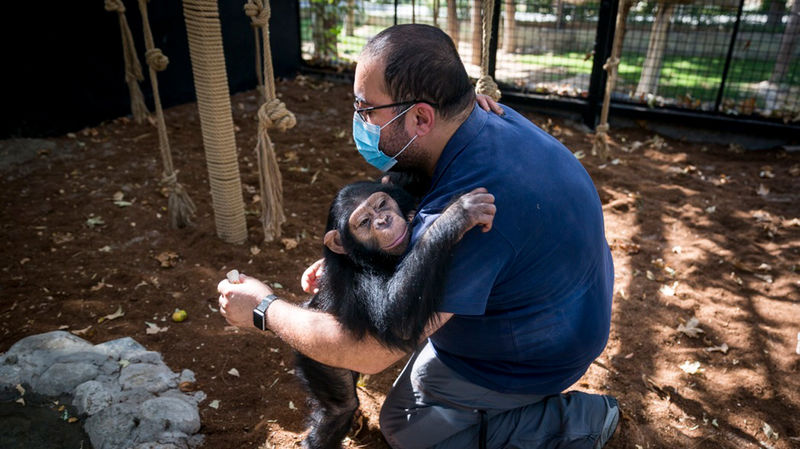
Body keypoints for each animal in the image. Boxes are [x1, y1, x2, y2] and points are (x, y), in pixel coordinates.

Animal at [294, 179, 494, 448]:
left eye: (381, 204)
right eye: (364, 222)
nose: (383, 221)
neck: (373, 259)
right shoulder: (359, 281)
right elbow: (396, 319)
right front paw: (458, 214)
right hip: (316, 352)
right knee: (339, 410)